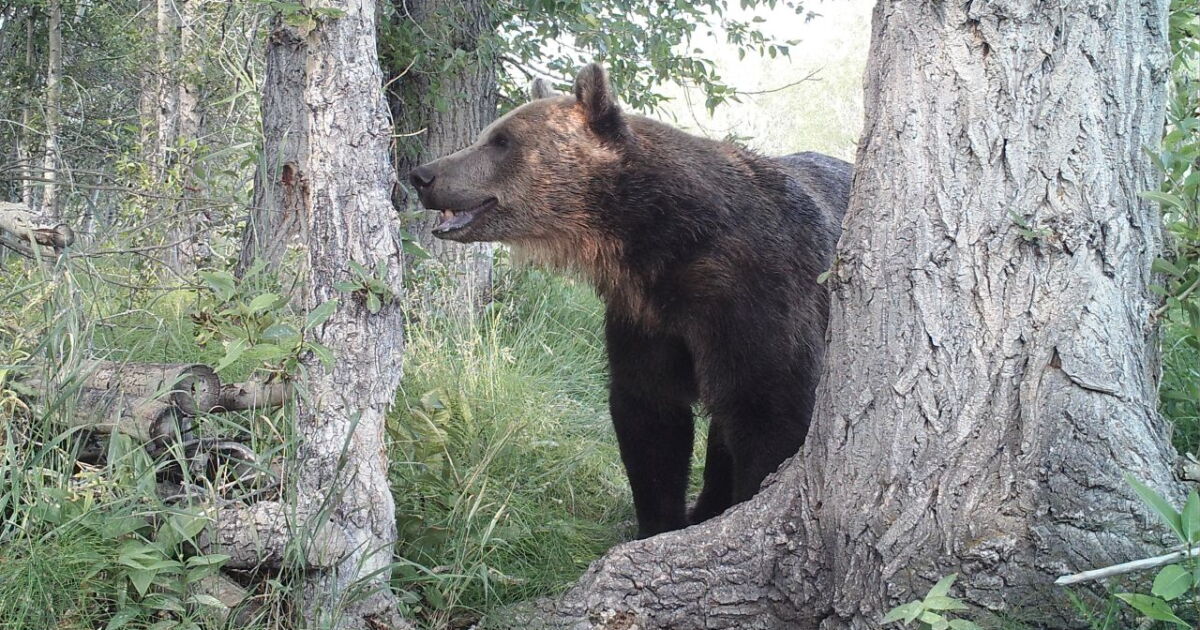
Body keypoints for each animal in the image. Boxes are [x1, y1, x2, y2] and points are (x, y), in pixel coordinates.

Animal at [408, 63, 851, 538]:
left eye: (501, 140)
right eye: (489, 135)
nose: (423, 176)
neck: (661, 242)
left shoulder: (760, 297)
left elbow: (771, 414)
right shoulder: (645, 315)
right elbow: (649, 419)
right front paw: (660, 522)